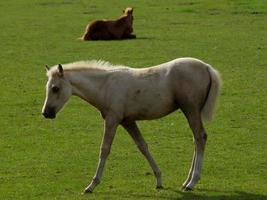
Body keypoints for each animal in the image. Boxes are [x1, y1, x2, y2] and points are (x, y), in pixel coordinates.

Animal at [42, 57, 222, 192]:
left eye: (55, 88)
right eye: (47, 88)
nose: (46, 113)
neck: (105, 86)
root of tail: (206, 67)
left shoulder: (112, 120)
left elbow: (105, 149)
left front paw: (92, 185)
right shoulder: (128, 122)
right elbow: (143, 146)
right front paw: (159, 180)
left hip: (190, 110)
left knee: (200, 137)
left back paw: (192, 183)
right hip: (190, 112)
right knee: (196, 140)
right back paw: (186, 182)